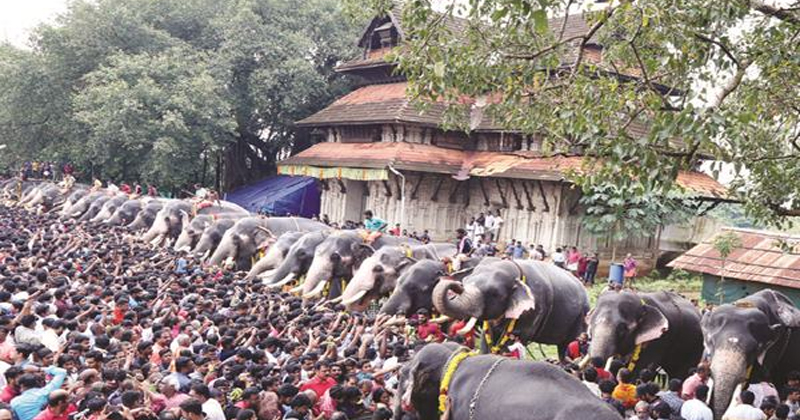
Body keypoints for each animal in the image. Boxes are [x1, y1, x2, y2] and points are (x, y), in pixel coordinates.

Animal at [432, 260, 588, 356]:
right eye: (465, 281)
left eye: (494, 293)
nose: (457, 284)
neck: (517, 271)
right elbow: (487, 335)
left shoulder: (534, 310)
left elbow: (513, 339)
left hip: (581, 317)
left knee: (567, 346)